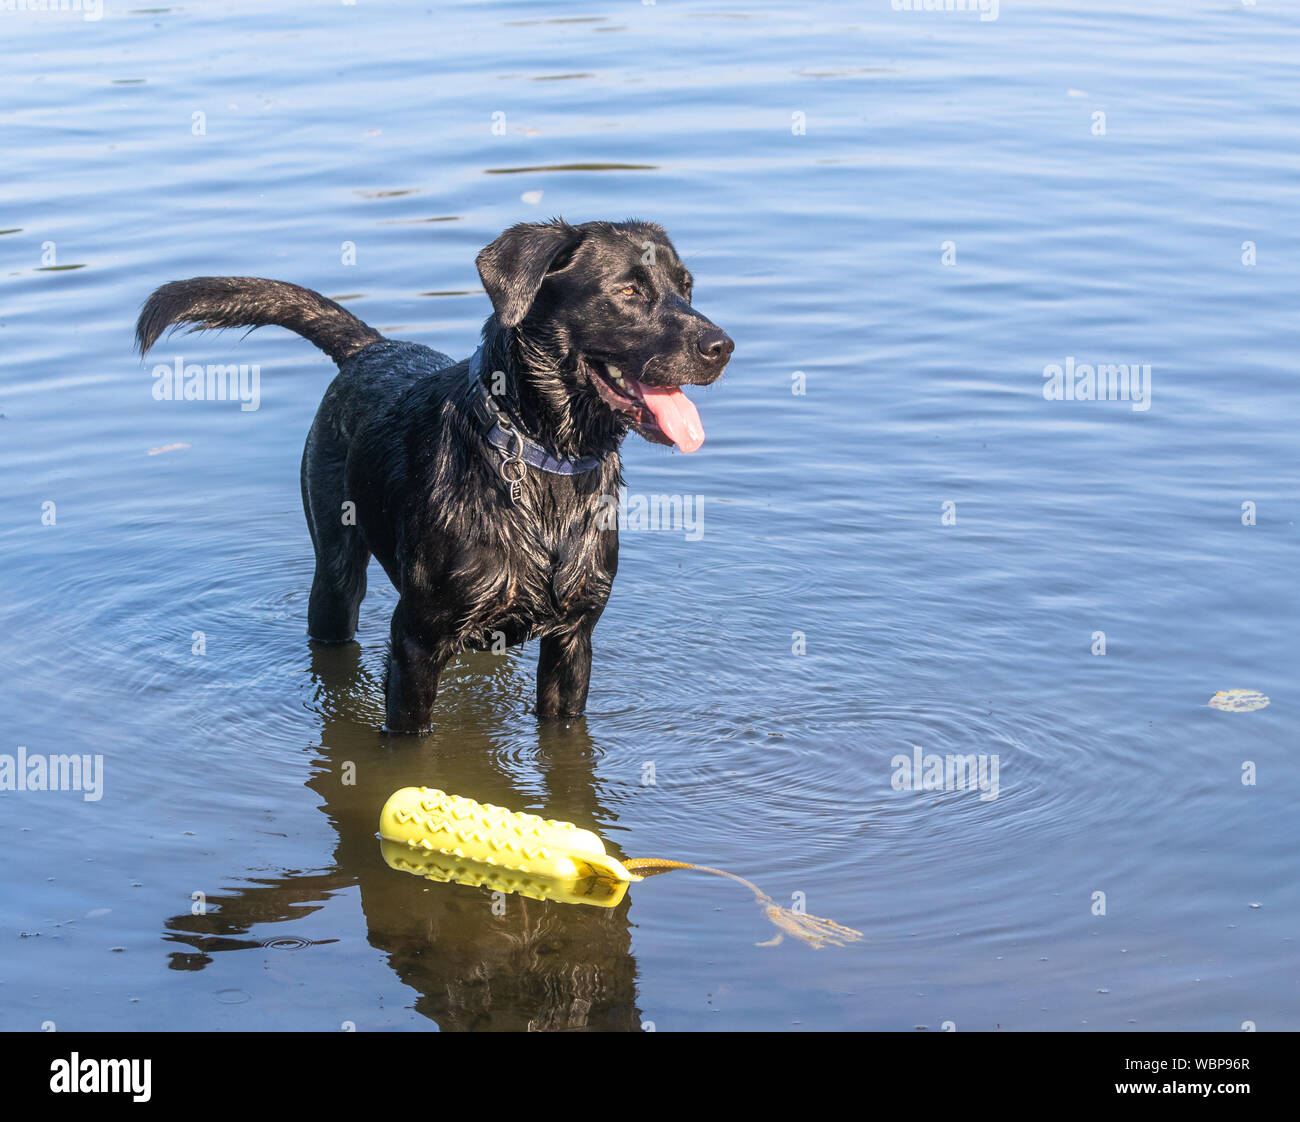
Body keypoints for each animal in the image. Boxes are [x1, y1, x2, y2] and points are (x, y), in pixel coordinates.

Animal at [141, 221, 738, 738]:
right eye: (629, 290)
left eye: (686, 287)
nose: (722, 346)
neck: (548, 468)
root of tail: (372, 348)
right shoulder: (416, 643)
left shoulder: (574, 642)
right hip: (335, 573)